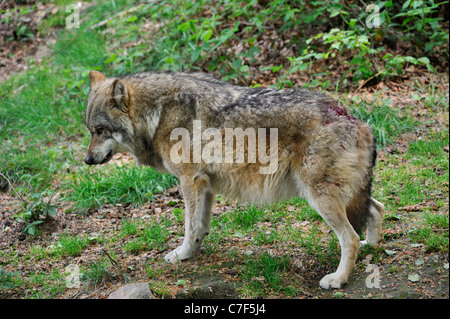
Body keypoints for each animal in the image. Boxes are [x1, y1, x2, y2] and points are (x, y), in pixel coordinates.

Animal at [83, 70, 384, 290]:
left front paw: (180, 255)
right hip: (347, 194)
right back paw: (371, 247)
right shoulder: (205, 185)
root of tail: (358, 121)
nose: (86, 160)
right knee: (377, 210)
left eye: (100, 130)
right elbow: (200, 227)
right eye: (90, 130)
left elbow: (189, 226)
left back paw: (338, 279)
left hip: (319, 197)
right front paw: (192, 253)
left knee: (350, 237)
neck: (157, 114)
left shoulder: (189, 181)